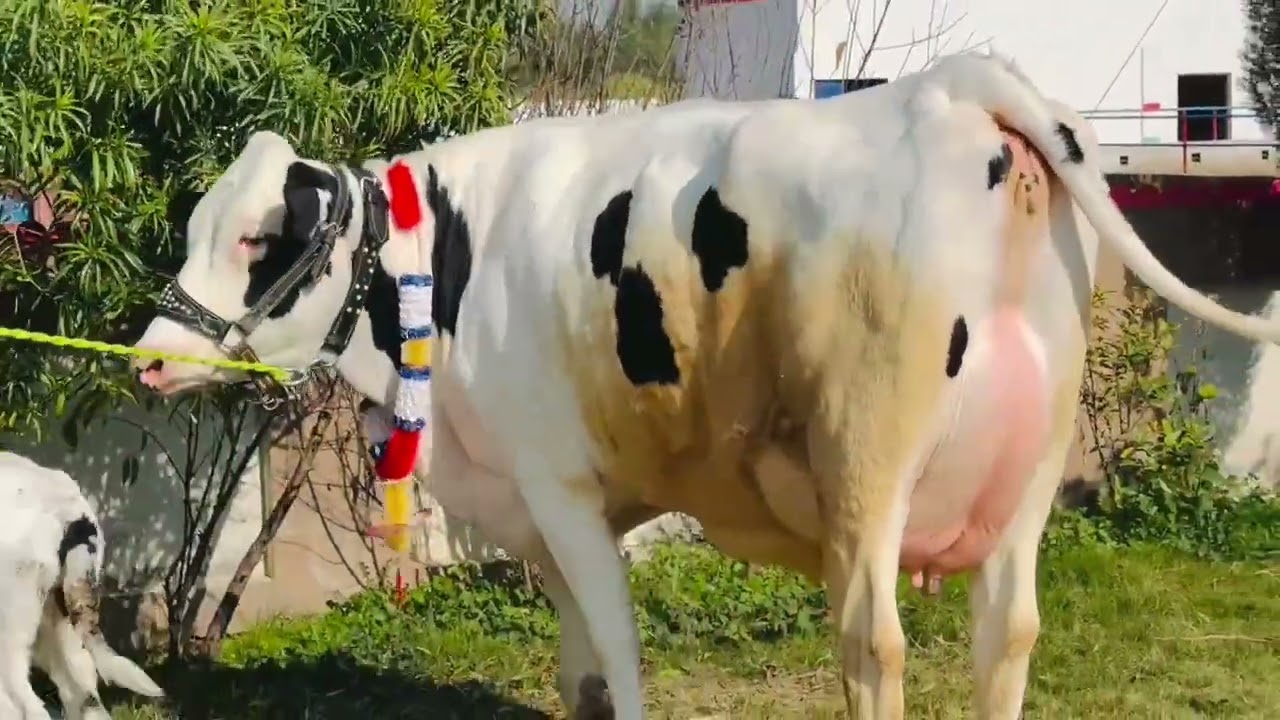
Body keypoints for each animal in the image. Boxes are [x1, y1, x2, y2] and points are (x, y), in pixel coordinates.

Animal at [127, 51, 1280, 720]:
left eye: (255, 237)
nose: (147, 353)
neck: (450, 260)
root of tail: (950, 86)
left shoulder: (560, 488)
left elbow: (620, 655)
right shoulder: (548, 510)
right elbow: (581, 670)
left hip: (864, 462)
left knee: (872, 643)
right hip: (1030, 469)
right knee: (1009, 633)